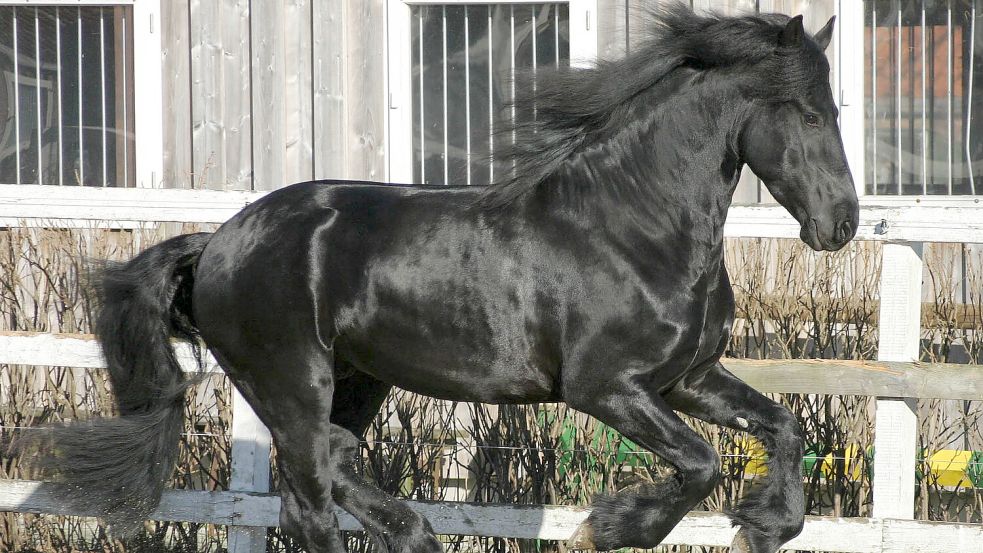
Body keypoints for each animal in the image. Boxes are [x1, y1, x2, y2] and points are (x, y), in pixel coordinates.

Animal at [36, 7, 852, 552]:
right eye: (807, 113)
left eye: (835, 109)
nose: (840, 223)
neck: (631, 227)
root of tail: (215, 246)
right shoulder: (607, 388)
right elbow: (701, 461)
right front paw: (611, 525)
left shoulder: (687, 378)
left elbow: (782, 426)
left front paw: (768, 523)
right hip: (291, 384)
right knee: (311, 506)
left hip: (358, 379)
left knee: (335, 468)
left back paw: (416, 532)